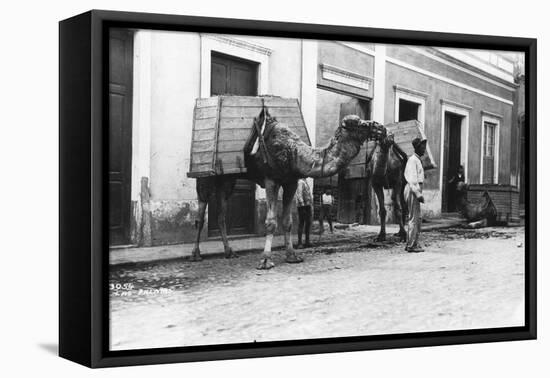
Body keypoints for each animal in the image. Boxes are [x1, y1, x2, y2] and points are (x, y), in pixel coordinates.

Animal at [191, 109, 384, 268]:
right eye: (361, 124)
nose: (380, 128)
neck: (294, 153)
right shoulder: (271, 180)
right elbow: (270, 222)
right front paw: (266, 260)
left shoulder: (291, 182)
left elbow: (288, 221)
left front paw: (292, 256)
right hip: (205, 178)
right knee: (200, 216)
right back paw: (196, 255)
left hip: (227, 180)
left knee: (221, 215)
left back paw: (229, 252)